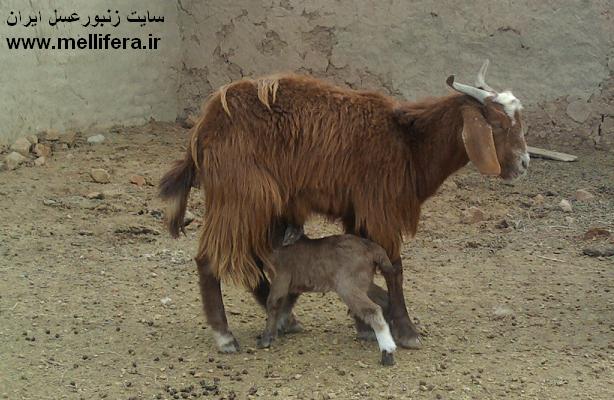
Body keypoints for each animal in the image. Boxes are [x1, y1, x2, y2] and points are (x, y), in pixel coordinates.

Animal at [159, 60, 528, 354]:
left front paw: (364, 325)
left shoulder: (358, 212)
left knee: (247, 256)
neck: (408, 143)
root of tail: (203, 128)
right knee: (211, 259)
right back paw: (225, 336)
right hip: (243, 197)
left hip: (254, 203)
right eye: (499, 125)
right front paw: (406, 330)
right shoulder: (380, 208)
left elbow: (363, 257)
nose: (524, 164)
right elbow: (393, 268)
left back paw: (284, 317)